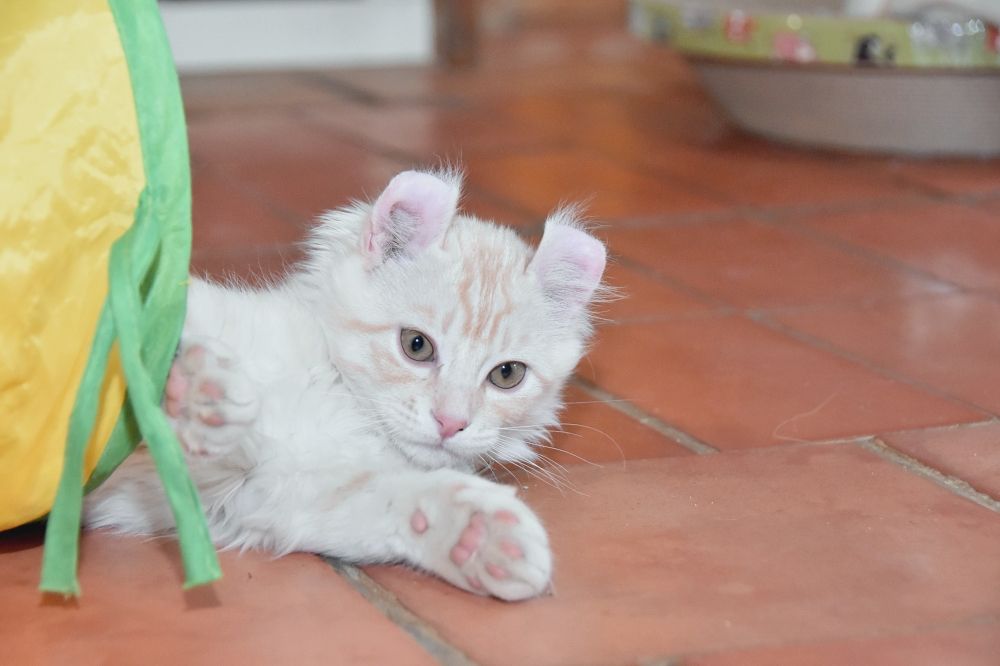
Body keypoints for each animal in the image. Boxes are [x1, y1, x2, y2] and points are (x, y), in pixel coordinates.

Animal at [83, 169, 607, 601]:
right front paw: (197, 392)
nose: (450, 422)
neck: (344, 404)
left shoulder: (278, 494)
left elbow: (399, 500)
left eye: (507, 375)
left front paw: (478, 538)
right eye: (416, 346)